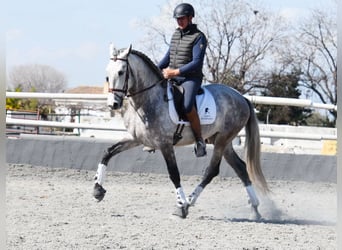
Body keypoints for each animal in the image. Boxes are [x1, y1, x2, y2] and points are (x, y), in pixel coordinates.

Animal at [94, 44, 270, 219]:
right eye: (107, 73)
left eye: (121, 72)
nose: (113, 104)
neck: (148, 100)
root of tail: (241, 98)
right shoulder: (135, 138)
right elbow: (107, 152)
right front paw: (97, 190)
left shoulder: (165, 144)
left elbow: (174, 173)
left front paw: (181, 206)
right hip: (222, 142)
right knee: (240, 167)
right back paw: (255, 209)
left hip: (222, 140)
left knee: (212, 171)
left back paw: (190, 201)